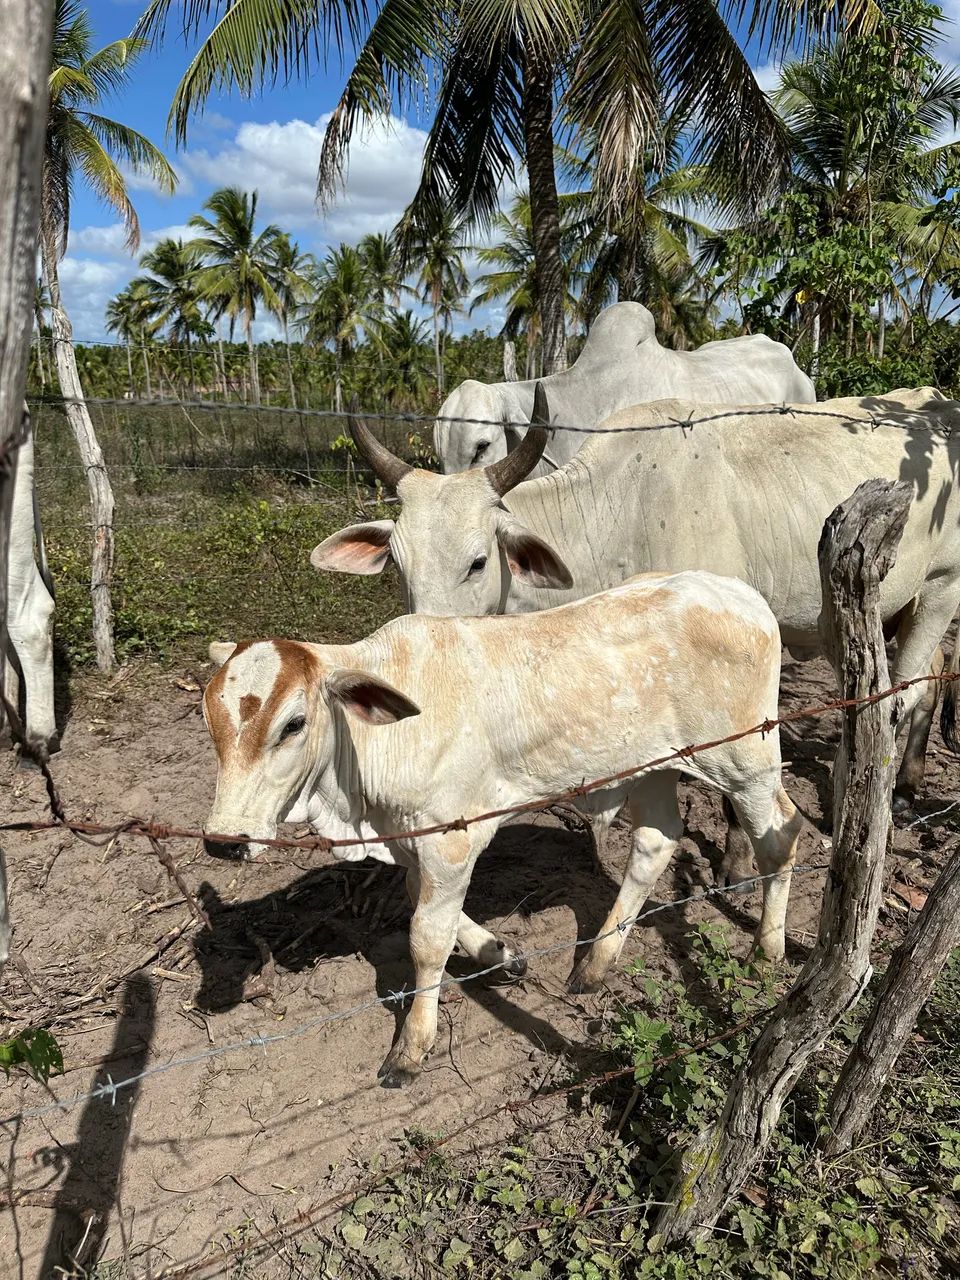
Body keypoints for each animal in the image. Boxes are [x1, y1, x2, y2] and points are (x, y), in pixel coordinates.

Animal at [201, 572, 803, 1086]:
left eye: (294, 724)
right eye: (210, 720)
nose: (223, 841)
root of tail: (740, 593)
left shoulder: (449, 840)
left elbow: (426, 939)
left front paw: (411, 1048)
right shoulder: (414, 843)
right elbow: (421, 900)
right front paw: (499, 953)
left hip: (745, 761)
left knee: (781, 834)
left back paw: (767, 948)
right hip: (655, 764)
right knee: (655, 844)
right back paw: (595, 964)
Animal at [311, 386, 958, 865]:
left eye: (477, 561)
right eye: (398, 564)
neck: (624, 507)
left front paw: (735, 863)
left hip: (940, 588)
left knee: (904, 693)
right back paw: (894, 785)